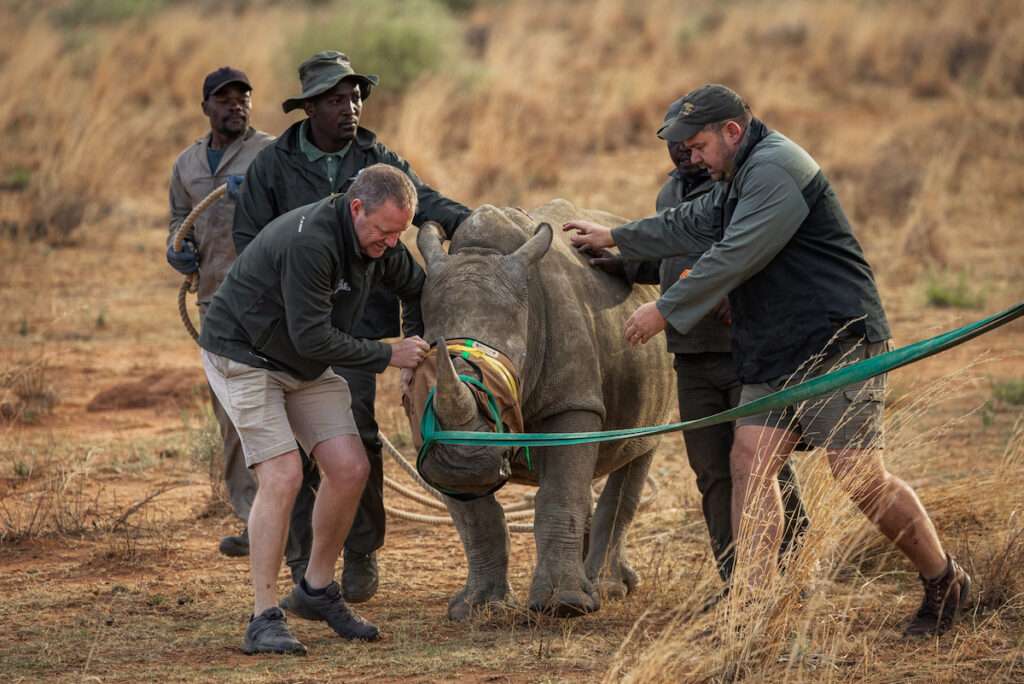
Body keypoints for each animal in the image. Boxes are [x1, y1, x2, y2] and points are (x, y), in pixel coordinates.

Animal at [408, 199, 673, 620]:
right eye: (426, 358)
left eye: (511, 362)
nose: (462, 466)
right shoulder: (427, 434)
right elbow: (475, 519)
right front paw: (477, 608)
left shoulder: (572, 401)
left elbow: (559, 495)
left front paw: (563, 606)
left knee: (639, 449)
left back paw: (607, 588)